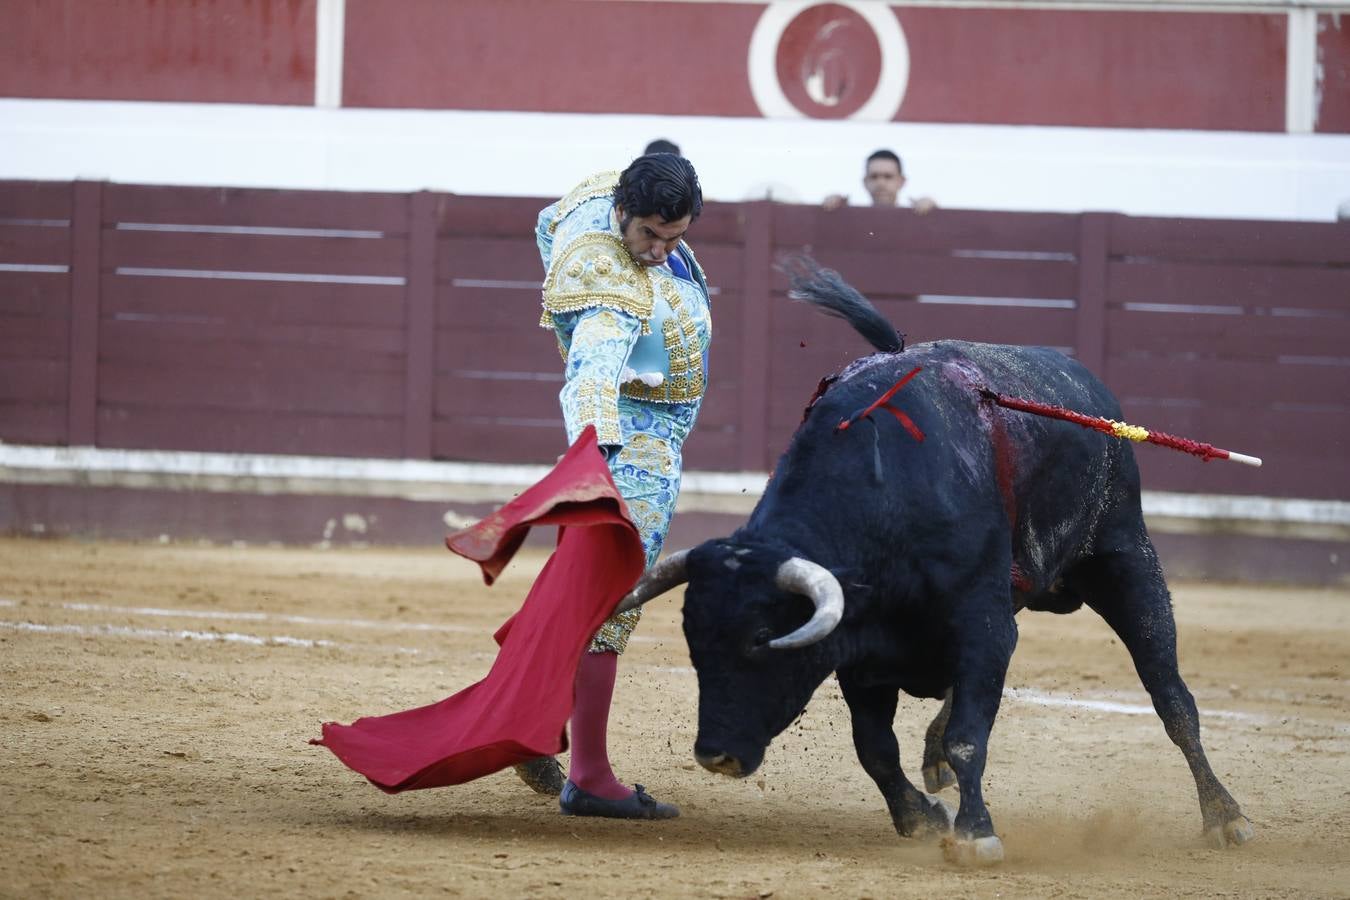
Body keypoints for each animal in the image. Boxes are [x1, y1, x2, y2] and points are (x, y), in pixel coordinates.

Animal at [621, 259, 1252, 863]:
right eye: (694, 643)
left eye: (759, 641)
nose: (715, 755)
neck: (886, 501)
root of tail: (1093, 390)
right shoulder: (860, 647)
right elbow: (876, 747)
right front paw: (920, 818)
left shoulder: (982, 625)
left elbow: (969, 735)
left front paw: (976, 834)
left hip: (1125, 557)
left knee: (1172, 696)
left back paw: (1226, 816)